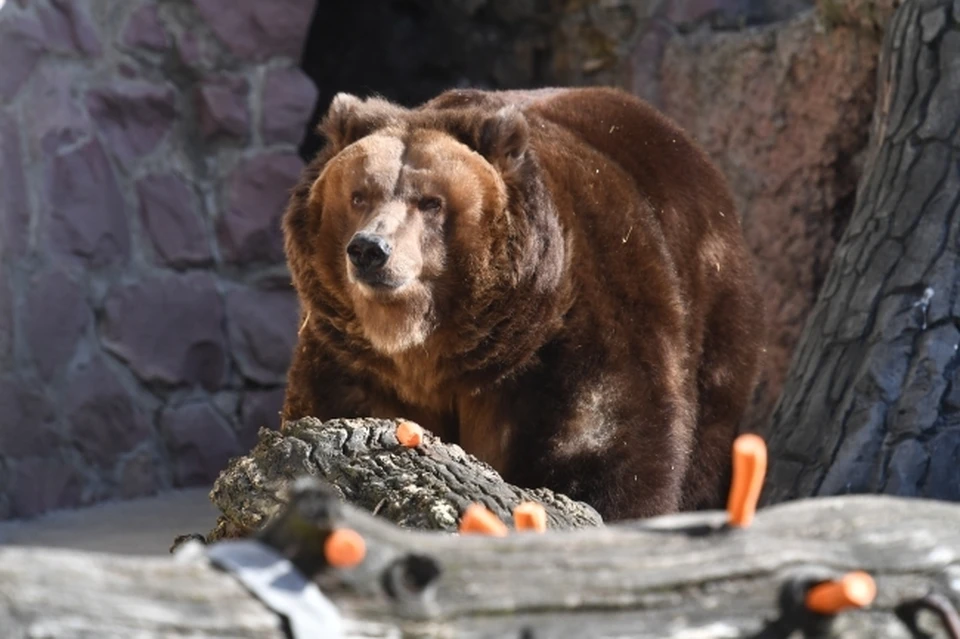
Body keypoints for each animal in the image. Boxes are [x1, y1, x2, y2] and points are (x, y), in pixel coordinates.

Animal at [280, 86, 764, 520]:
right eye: (359, 194)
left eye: (431, 202)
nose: (370, 249)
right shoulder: (350, 360)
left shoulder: (580, 329)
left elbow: (609, 444)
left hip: (712, 310)